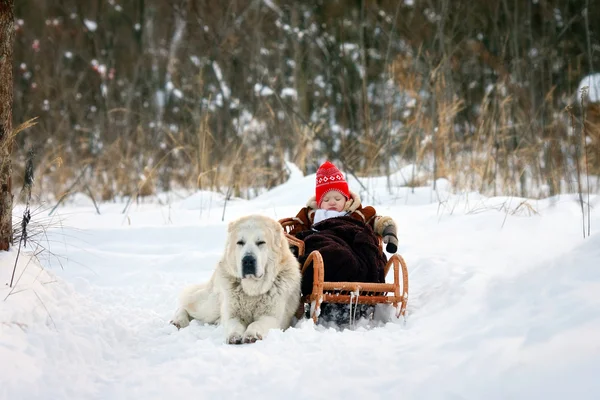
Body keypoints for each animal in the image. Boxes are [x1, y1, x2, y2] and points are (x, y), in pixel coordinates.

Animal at [169, 216, 300, 344]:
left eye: (261, 242)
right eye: (240, 242)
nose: (248, 260)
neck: (252, 290)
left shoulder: (272, 317)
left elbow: (256, 323)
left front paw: (252, 334)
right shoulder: (232, 314)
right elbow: (234, 324)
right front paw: (234, 336)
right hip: (211, 306)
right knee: (186, 305)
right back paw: (179, 320)